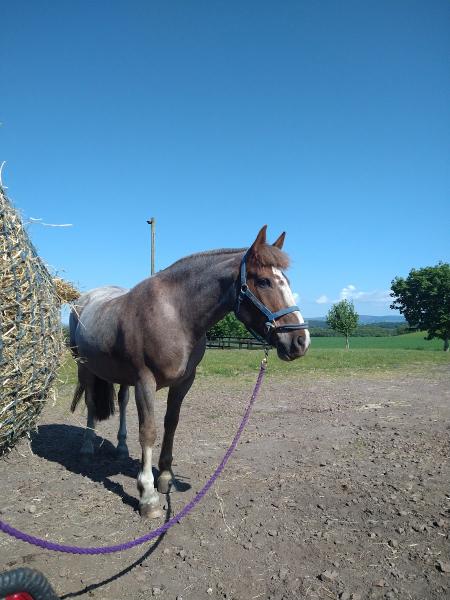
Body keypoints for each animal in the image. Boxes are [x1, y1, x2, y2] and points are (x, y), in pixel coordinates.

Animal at [70, 225, 310, 516]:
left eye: (286, 280)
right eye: (264, 281)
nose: (301, 341)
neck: (174, 314)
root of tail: (85, 300)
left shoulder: (184, 381)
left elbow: (171, 423)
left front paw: (164, 477)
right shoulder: (145, 381)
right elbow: (148, 431)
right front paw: (147, 495)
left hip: (121, 377)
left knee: (122, 402)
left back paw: (121, 447)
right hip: (85, 368)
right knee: (91, 404)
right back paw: (86, 448)